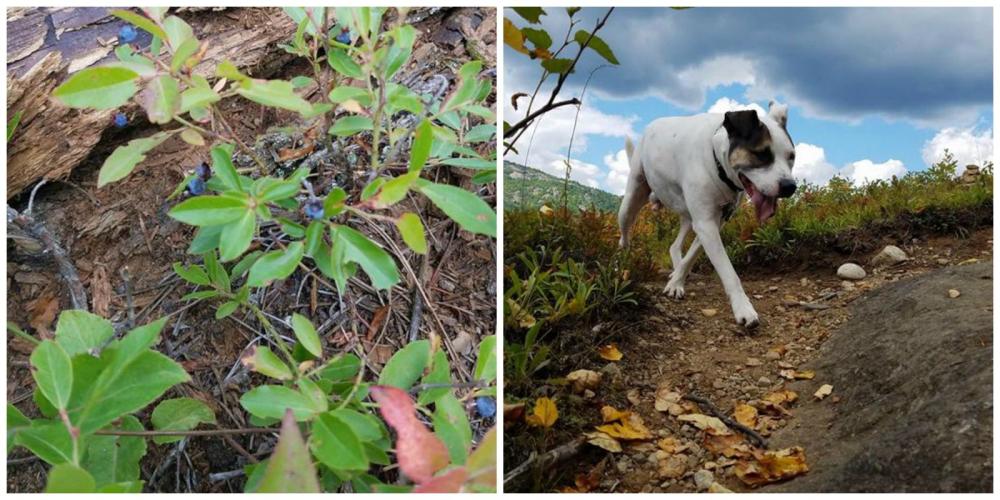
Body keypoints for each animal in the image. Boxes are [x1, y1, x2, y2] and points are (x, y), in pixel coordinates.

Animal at [616, 101, 796, 328]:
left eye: (792, 157)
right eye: (761, 154)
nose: (790, 187)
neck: (716, 160)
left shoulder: (713, 223)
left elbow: (691, 256)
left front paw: (676, 281)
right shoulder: (705, 224)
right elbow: (729, 272)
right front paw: (743, 308)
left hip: (687, 215)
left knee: (675, 245)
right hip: (631, 199)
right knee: (624, 234)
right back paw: (622, 263)